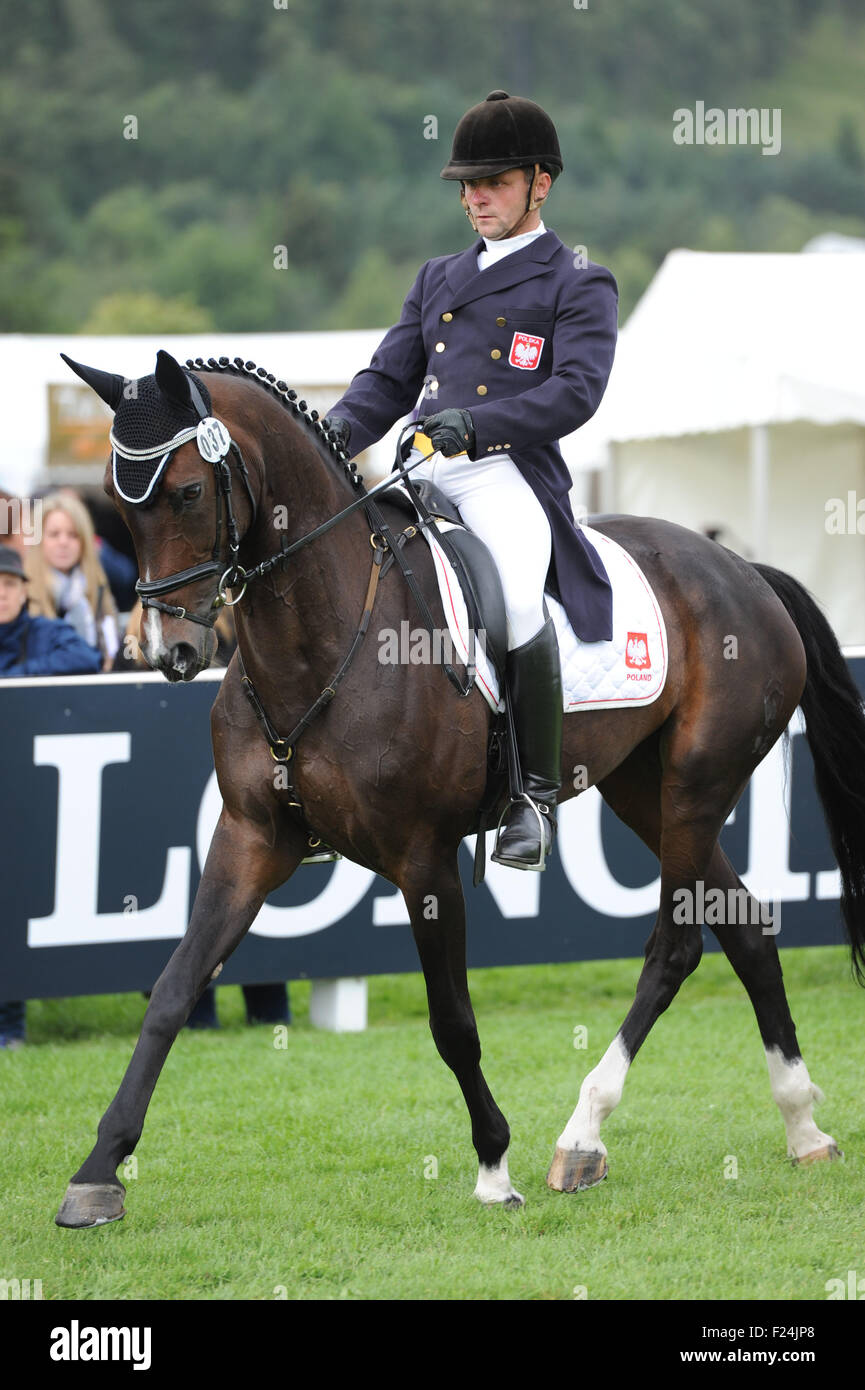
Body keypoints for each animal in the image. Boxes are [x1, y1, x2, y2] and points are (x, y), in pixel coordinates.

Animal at [52, 350, 865, 1228]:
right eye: (117, 498)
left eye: (189, 493)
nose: (167, 650)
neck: (327, 633)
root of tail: (743, 571)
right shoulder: (249, 838)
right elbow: (172, 988)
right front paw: (96, 1173)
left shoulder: (423, 859)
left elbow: (452, 1023)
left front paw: (492, 1167)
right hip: (643, 791)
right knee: (743, 925)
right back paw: (801, 1124)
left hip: (695, 786)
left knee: (675, 946)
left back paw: (581, 1136)